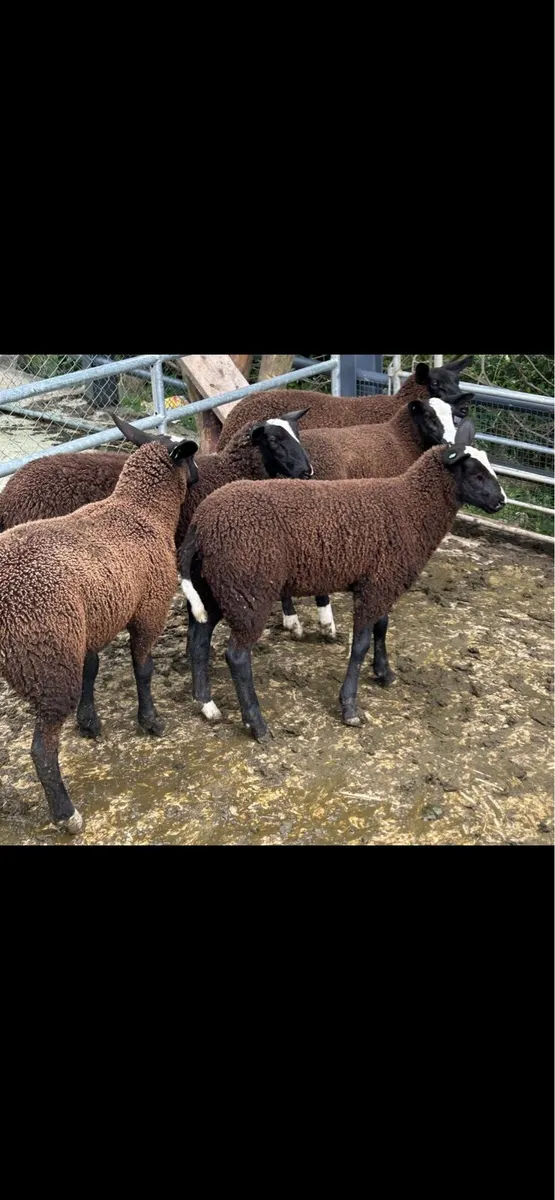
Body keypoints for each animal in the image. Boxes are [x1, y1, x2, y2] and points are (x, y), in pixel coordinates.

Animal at [0, 429, 200, 834]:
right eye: (189, 457)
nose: (199, 474)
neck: (140, 511)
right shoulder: (149, 609)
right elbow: (143, 669)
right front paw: (150, 720)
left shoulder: (92, 621)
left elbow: (91, 671)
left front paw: (89, 721)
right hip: (48, 660)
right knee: (42, 749)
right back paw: (66, 814)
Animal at [179, 419, 506, 739]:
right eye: (476, 474)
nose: (502, 501)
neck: (411, 506)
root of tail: (200, 525)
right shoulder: (377, 586)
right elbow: (359, 645)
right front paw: (349, 707)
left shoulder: (380, 579)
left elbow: (382, 628)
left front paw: (384, 674)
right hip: (248, 590)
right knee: (236, 656)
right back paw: (257, 725)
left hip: (215, 588)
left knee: (199, 640)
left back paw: (206, 705)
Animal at [278, 391, 473, 640]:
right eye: (429, 416)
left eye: (452, 415)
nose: (450, 444)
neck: (401, 439)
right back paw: (324, 624)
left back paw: (292, 622)